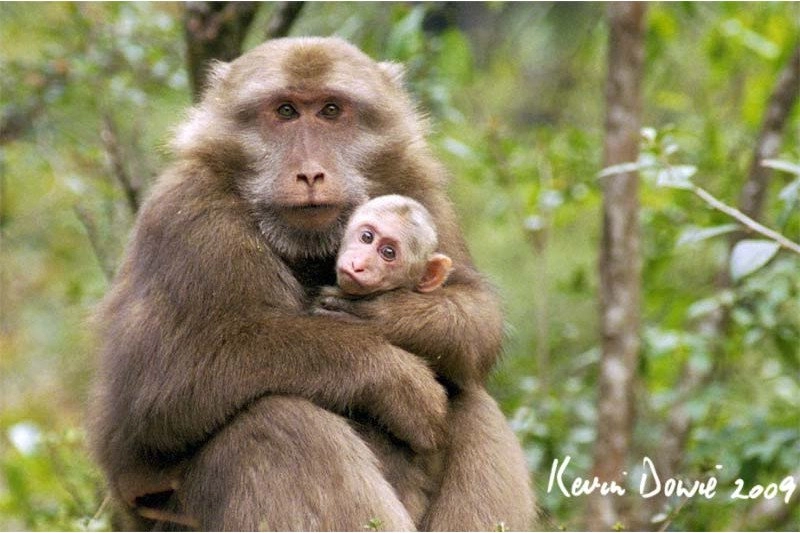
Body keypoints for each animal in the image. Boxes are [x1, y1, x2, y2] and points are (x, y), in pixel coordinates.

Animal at [88, 37, 534, 531]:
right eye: (285, 111)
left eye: (330, 110)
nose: (310, 172)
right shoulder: (188, 216)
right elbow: (156, 388)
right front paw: (392, 376)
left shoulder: (415, 185)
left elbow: (477, 314)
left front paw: (385, 315)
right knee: (276, 420)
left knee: (470, 400)